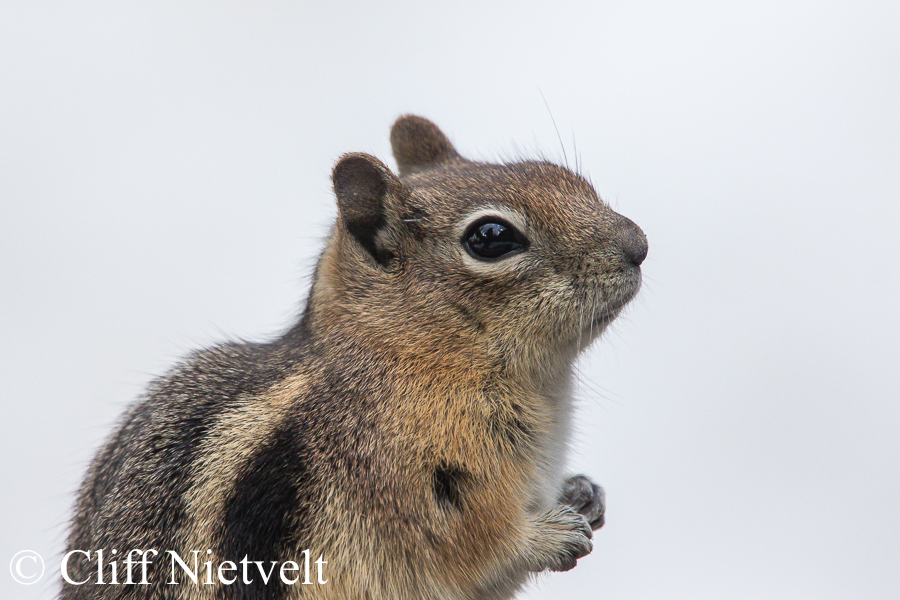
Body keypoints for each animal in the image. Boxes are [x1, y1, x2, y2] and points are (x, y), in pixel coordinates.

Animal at [61, 115, 648, 596]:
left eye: (566, 177)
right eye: (491, 236)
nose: (638, 245)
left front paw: (582, 492)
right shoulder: (409, 477)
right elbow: (476, 547)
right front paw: (550, 534)